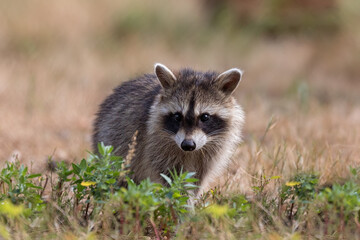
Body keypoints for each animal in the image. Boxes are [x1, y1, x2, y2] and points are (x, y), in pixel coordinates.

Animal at [93, 63, 245, 193]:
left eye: (205, 117)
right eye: (177, 116)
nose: (188, 145)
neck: (191, 153)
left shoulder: (212, 152)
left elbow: (197, 179)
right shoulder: (154, 144)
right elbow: (171, 176)